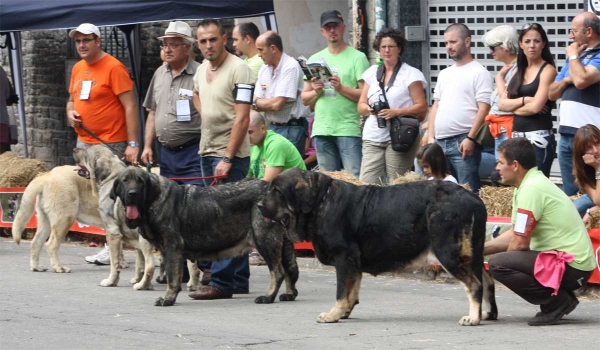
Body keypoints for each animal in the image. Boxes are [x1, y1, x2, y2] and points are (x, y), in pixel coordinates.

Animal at [110, 167, 300, 306]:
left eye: (140, 182)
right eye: (125, 181)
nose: (132, 193)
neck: (153, 200)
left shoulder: (172, 247)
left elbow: (172, 276)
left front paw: (168, 299)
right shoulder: (167, 250)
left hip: (265, 241)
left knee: (278, 272)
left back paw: (268, 297)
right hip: (278, 244)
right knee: (289, 270)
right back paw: (289, 294)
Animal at [258, 167, 496, 326]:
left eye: (277, 191)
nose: (259, 204)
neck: (321, 202)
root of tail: (475, 199)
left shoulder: (344, 257)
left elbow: (341, 291)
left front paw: (333, 315)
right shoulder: (353, 262)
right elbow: (351, 291)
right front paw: (344, 312)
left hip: (449, 252)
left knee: (475, 284)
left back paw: (473, 317)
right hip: (473, 254)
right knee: (487, 281)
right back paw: (486, 314)